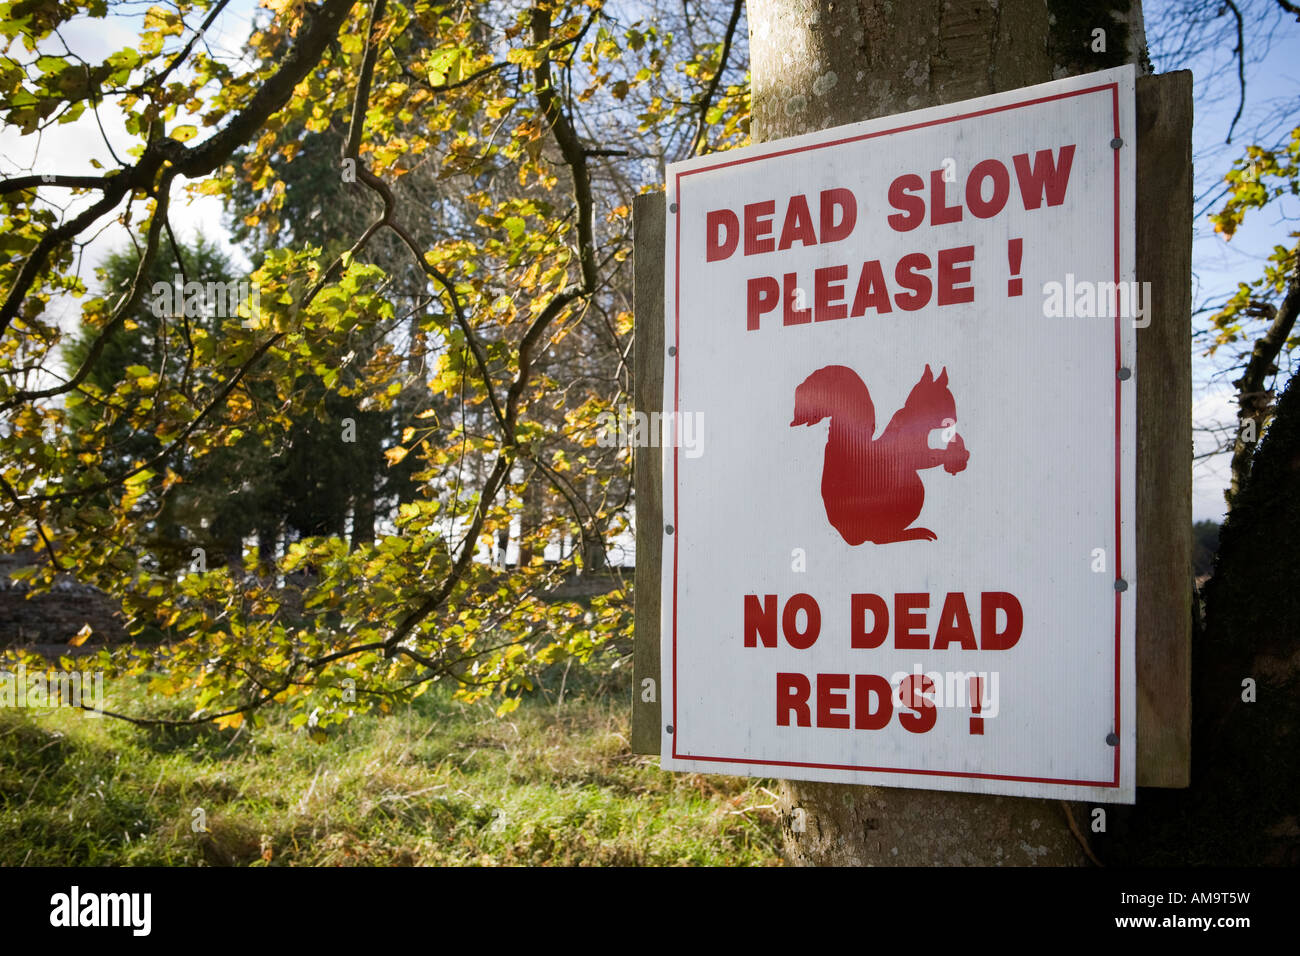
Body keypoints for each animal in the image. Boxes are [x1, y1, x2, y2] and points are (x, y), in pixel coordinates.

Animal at [790, 364, 969, 545]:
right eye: (942, 399)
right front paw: (954, 455)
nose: (954, 420)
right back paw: (911, 533)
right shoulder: (906, 446)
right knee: (879, 538)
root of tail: (853, 537)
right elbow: (923, 459)